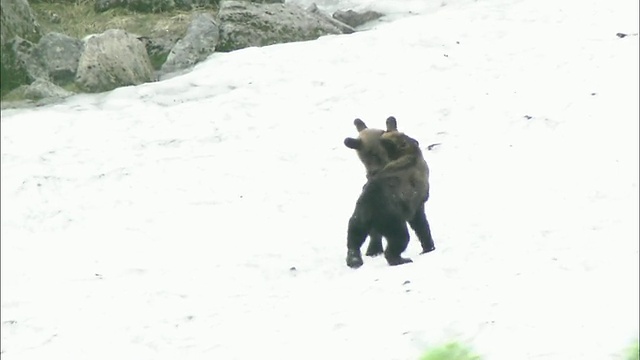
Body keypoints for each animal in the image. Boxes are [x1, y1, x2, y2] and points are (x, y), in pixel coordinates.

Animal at [344, 116, 436, 268]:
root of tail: (368, 210)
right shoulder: (416, 201)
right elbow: (420, 223)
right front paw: (429, 247)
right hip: (390, 219)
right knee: (400, 238)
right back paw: (400, 259)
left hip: (358, 217)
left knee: (354, 238)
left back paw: (355, 259)